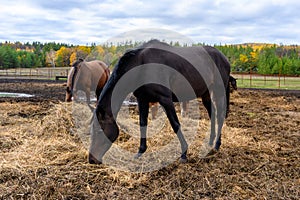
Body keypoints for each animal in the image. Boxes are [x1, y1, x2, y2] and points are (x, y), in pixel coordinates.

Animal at [89, 40, 232, 164]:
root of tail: (224, 57)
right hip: (206, 93)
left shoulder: (165, 99)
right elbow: (143, 123)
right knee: (212, 114)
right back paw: (210, 141)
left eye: (99, 130)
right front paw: (140, 151)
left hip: (218, 90)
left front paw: (184, 154)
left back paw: (217, 145)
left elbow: (175, 124)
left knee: (219, 115)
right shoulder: (143, 99)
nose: (92, 160)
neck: (142, 66)